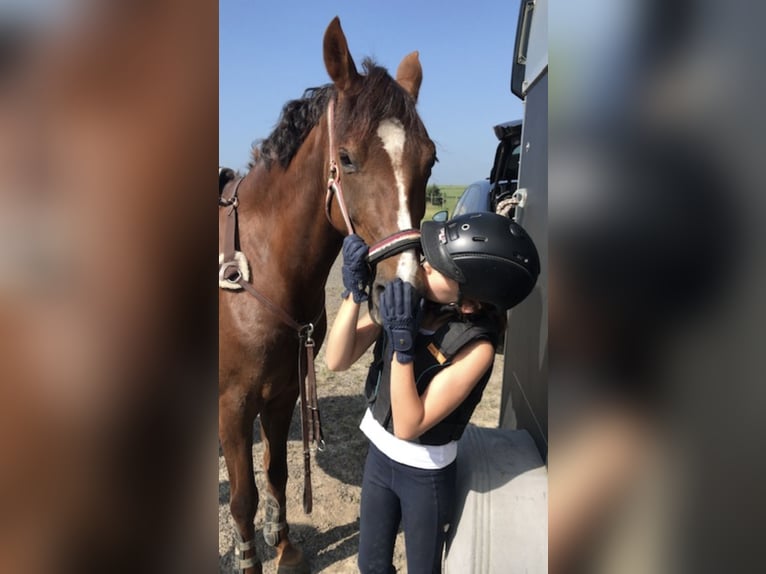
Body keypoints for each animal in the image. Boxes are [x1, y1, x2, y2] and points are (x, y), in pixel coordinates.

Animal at [220, 18, 438, 574]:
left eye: (430, 160)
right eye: (346, 158)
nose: (405, 290)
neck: (257, 272)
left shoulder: (283, 393)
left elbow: (275, 472)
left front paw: (283, 544)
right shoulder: (233, 405)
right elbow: (243, 496)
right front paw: (250, 557)